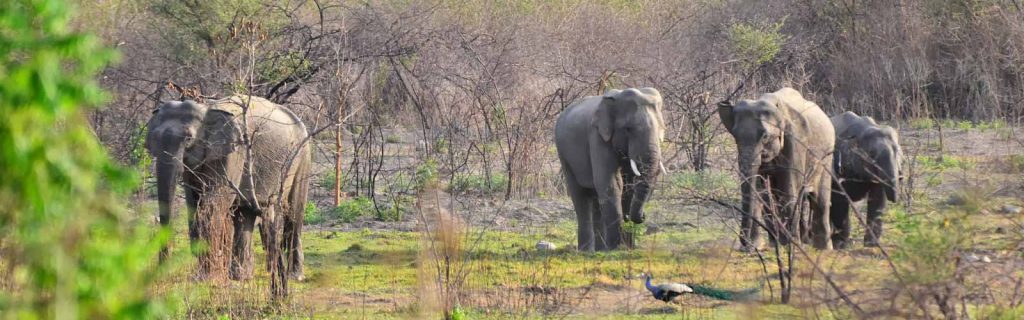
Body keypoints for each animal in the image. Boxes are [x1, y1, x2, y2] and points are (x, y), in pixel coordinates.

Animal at [146, 93, 309, 291]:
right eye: (153, 139)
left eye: (188, 139)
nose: (162, 271)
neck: (206, 108)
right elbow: (194, 203)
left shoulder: (233, 153)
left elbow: (214, 203)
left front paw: (204, 279)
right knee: (245, 214)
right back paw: (241, 276)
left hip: (302, 155)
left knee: (294, 213)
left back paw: (295, 276)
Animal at [557, 86, 667, 250]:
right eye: (628, 129)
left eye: (661, 128)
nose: (643, 216)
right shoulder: (597, 136)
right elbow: (612, 183)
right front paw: (616, 249)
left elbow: (628, 186)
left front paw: (627, 248)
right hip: (564, 154)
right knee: (580, 196)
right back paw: (587, 251)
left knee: (596, 199)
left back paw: (599, 250)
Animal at [716, 87, 835, 250]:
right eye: (735, 136)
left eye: (765, 136)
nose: (744, 243)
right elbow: (760, 191)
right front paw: (755, 248)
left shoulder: (796, 141)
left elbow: (789, 188)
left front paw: (792, 245)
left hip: (826, 157)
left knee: (820, 200)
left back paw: (822, 248)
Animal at [827, 111, 901, 249]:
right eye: (871, 154)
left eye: (898, 151)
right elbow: (839, 200)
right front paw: (841, 245)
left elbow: (877, 199)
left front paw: (872, 245)